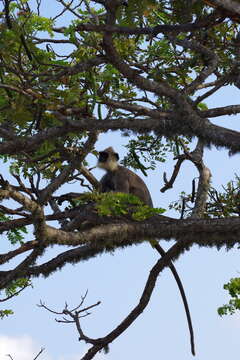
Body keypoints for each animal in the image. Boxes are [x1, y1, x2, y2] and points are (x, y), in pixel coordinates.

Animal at [97, 146, 195, 354]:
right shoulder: (107, 176)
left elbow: (120, 192)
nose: (100, 158)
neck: (113, 170)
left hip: (135, 207)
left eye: (105, 155)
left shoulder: (119, 175)